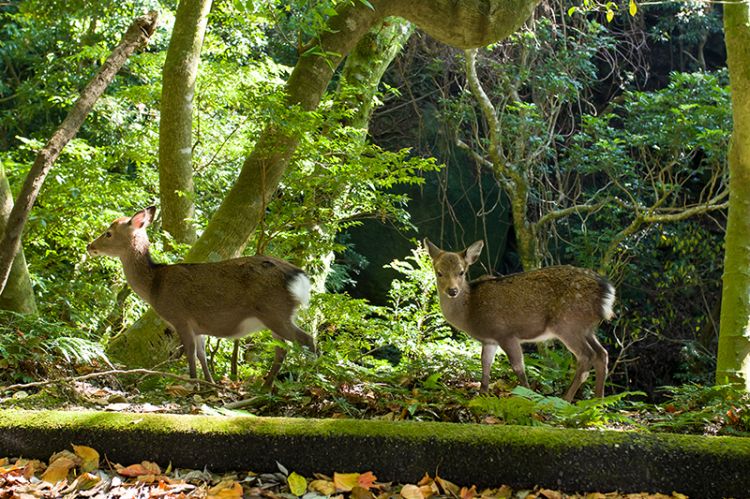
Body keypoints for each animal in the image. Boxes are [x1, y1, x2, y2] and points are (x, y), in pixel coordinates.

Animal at [89, 206, 318, 386]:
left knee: (307, 340)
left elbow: (190, 352)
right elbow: (202, 354)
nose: (90, 246)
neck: (155, 286)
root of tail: (300, 278)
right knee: (283, 350)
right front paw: (210, 384)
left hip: (275, 311)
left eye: (108, 233)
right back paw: (266, 387)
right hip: (276, 315)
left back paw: (311, 382)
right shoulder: (198, 325)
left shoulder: (179, 316)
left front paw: (192, 384)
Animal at [426, 238, 612, 402]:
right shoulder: (490, 340)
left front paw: (528, 396)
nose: (452, 291)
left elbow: (518, 367)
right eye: (439, 272)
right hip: (586, 328)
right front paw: (482, 394)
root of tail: (607, 291)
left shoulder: (506, 333)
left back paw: (566, 399)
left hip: (568, 323)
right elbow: (485, 364)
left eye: (461, 272)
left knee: (587, 356)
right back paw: (598, 401)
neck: (470, 312)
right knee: (602, 354)